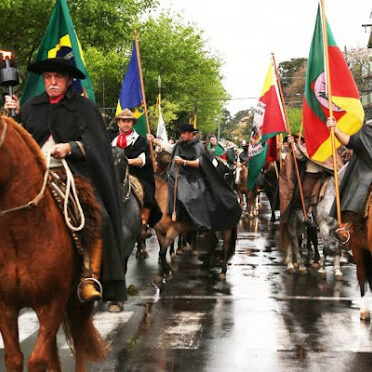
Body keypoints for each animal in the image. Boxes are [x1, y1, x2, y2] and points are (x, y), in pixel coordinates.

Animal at [0, 117, 106, 372]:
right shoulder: (6, 306)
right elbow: (15, 359)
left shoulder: (52, 304)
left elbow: (37, 360)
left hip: (77, 303)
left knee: (78, 344)